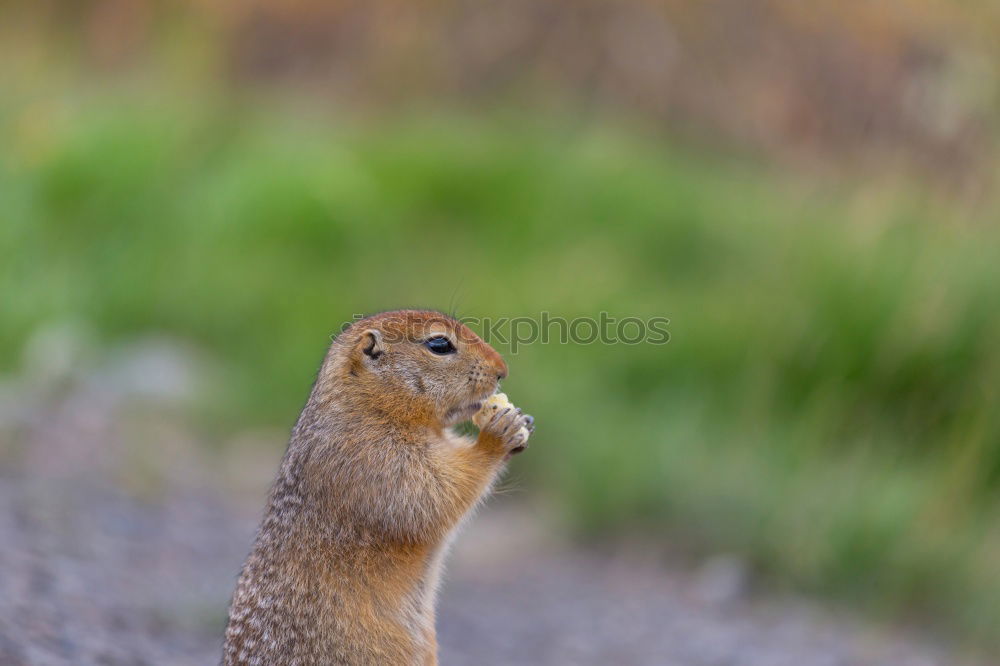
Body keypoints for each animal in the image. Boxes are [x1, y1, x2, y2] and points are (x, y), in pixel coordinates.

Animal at [224, 308, 536, 660]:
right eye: (439, 344)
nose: (502, 370)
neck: (371, 407)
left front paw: (521, 420)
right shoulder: (373, 456)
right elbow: (428, 494)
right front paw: (498, 433)